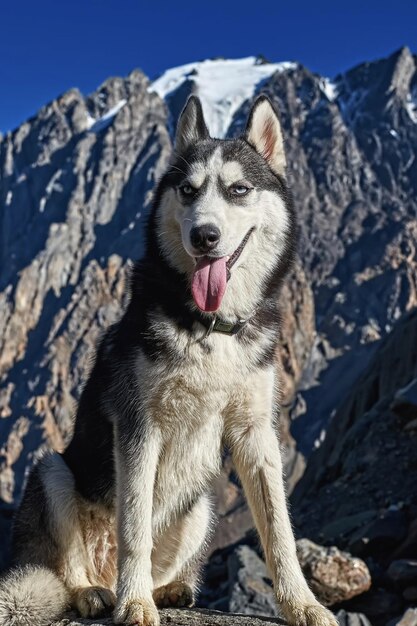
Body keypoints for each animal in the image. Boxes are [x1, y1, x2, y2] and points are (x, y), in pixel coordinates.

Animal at [0, 94, 336, 624]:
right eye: (187, 189)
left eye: (239, 189)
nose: (204, 235)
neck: (209, 327)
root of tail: (104, 571)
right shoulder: (139, 426)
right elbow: (134, 523)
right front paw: (134, 603)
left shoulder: (256, 432)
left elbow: (279, 528)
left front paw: (301, 603)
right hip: (52, 470)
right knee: (69, 565)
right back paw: (97, 592)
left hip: (200, 505)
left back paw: (169, 588)